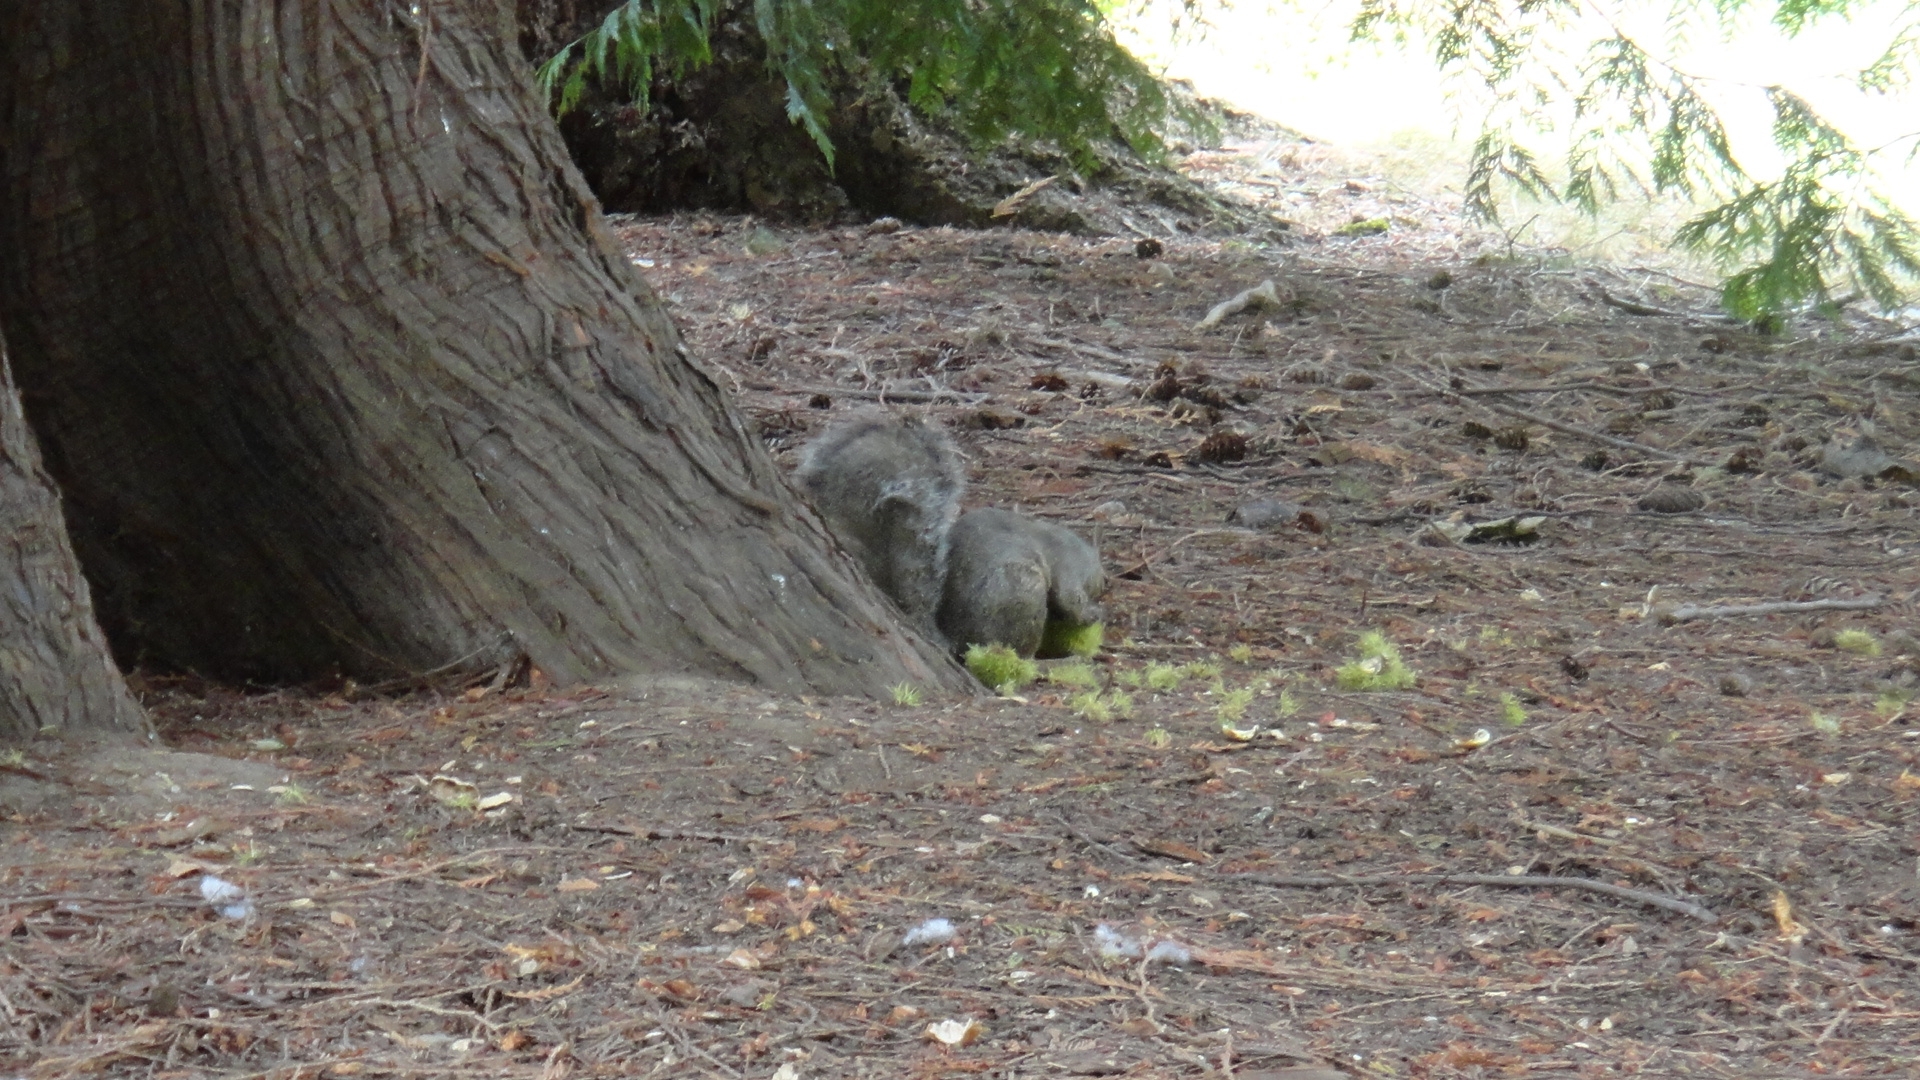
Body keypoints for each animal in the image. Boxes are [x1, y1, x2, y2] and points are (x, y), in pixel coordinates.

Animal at [791, 409, 1098, 657]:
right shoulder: (1068, 570)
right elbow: (1071, 600)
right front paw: (1093, 614)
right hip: (1020, 595)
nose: (1102, 585)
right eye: (1100, 580)